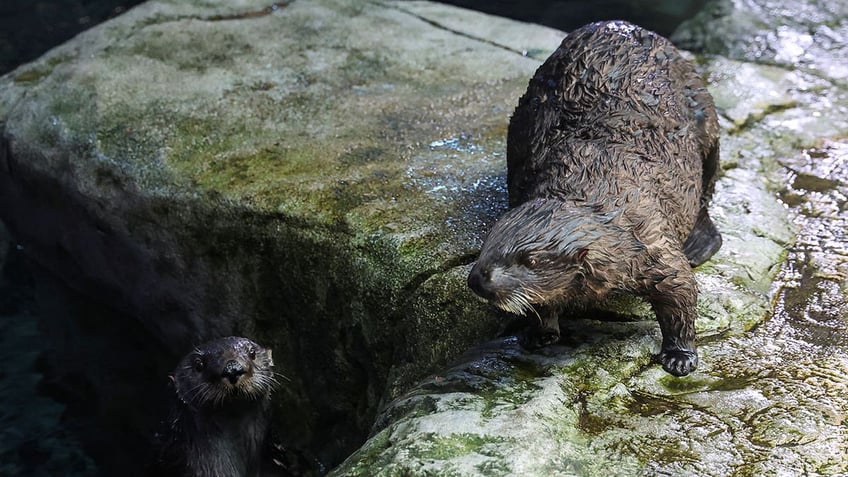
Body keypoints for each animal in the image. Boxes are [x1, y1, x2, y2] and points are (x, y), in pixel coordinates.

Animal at [470, 19, 724, 376]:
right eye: (487, 245)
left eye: (529, 260)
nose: (476, 279)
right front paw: (538, 334)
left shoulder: (653, 242)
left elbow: (681, 295)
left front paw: (680, 356)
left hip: (707, 121)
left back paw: (699, 245)